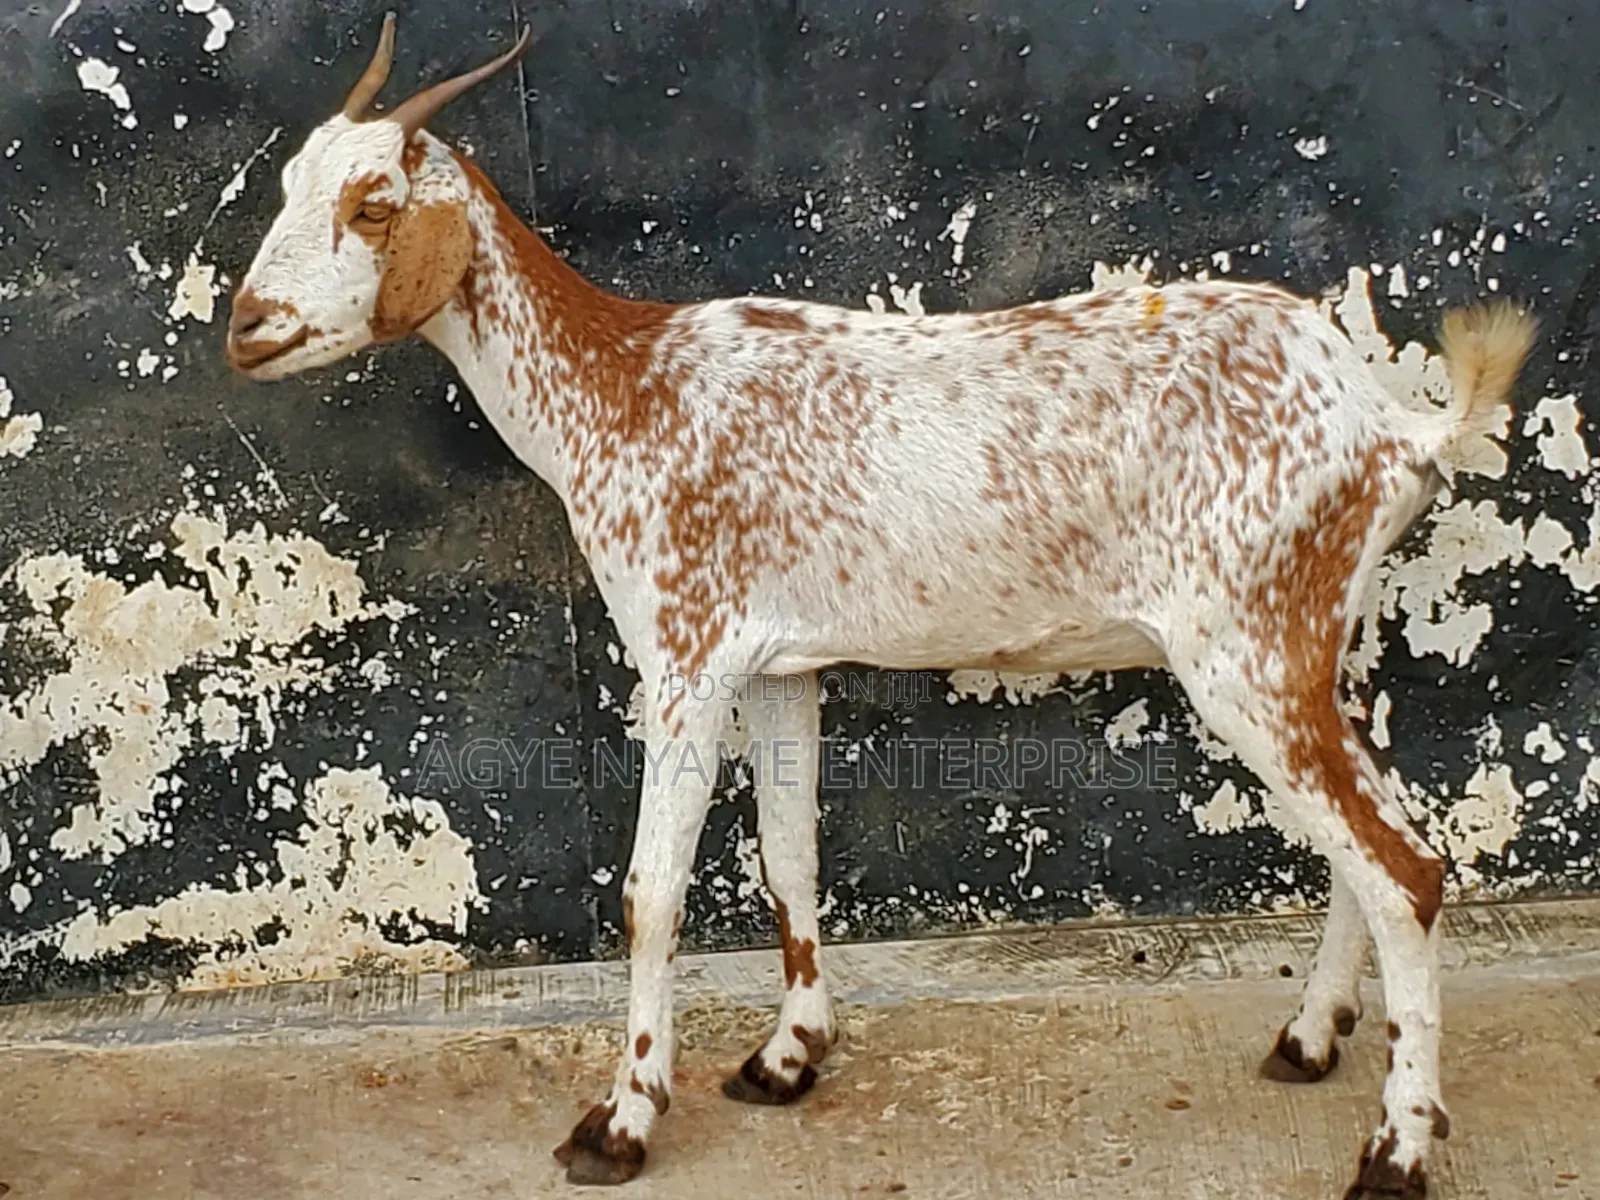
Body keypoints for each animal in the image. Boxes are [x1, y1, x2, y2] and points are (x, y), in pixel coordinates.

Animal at [226, 16, 1537, 1197]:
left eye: (375, 203)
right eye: (287, 186)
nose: (245, 326)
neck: (624, 387)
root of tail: (1387, 427)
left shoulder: (686, 653)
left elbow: (651, 893)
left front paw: (622, 1120)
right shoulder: (779, 665)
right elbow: (787, 858)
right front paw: (788, 1054)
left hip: (1245, 655)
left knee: (1403, 873)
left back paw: (1396, 1151)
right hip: (1320, 643)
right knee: (1378, 841)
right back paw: (1309, 1039)